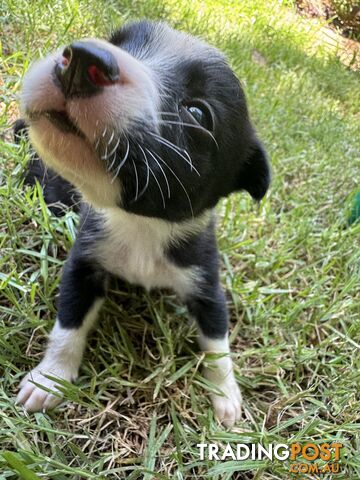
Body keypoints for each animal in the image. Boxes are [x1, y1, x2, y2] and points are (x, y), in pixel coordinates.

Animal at [16, 19, 270, 428]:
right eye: (118, 42)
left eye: (197, 113)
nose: (83, 58)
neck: (142, 226)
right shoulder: (84, 262)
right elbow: (69, 322)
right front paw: (50, 377)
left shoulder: (205, 280)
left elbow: (218, 342)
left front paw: (226, 395)